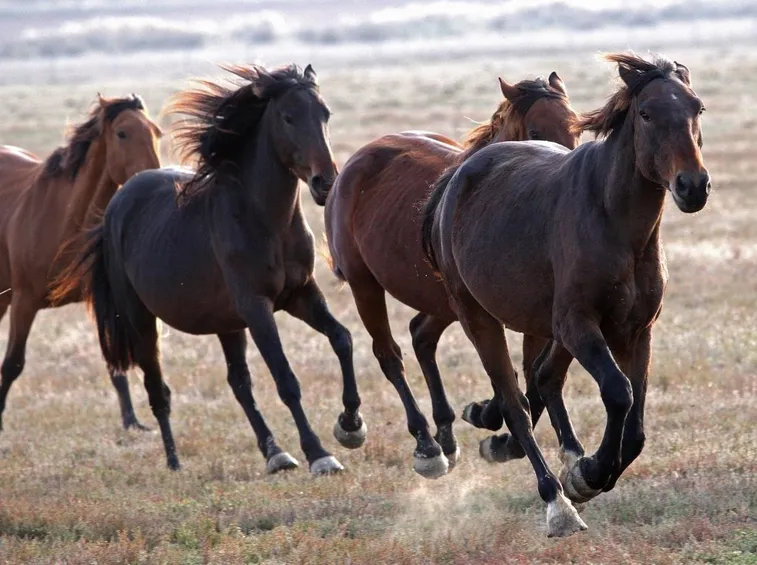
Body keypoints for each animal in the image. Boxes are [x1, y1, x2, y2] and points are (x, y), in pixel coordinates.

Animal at [0, 94, 162, 432]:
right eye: (122, 133)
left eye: (156, 131)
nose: (153, 177)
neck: (66, 220)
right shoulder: (24, 301)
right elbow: (12, 364)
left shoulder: (97, 298)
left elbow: (115, 365)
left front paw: (132, 422)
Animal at [53, 64, 364, 475]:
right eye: (288, 116)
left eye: (325, 114)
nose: (325, 181)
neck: (263, 220)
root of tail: (116, 206)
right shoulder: (257, 307)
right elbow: (286, 379)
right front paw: (319, 453)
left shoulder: (301, 294)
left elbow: (342, 339)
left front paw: (351, 425)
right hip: (142, 321)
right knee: (158, 389)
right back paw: (174, 462)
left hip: (226, 322)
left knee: (239, 383)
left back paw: (275, 454)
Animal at [325, 72, 579, 478]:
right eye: (536, 130)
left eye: (577, 128)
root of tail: (353, 165)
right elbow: (520, 379)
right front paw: (493, 419)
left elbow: (534, 375)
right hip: (366, 286)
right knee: (389, 355)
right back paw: (425, 445)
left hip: (440, 304)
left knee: (421, 337)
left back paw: (446, 432)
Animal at [421, 52, 710, 536]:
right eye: (647, 113)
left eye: (697, 108)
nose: (693, 185)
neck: (614, 223)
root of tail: (456, 178)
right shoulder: (578, 324)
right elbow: (617, 392)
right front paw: (587, 476)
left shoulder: (636, 331)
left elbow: (635, 429)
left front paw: (586, 470)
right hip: (480, 317)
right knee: (516, 403)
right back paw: (557, 503)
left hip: (545, 327)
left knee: (543, 379)